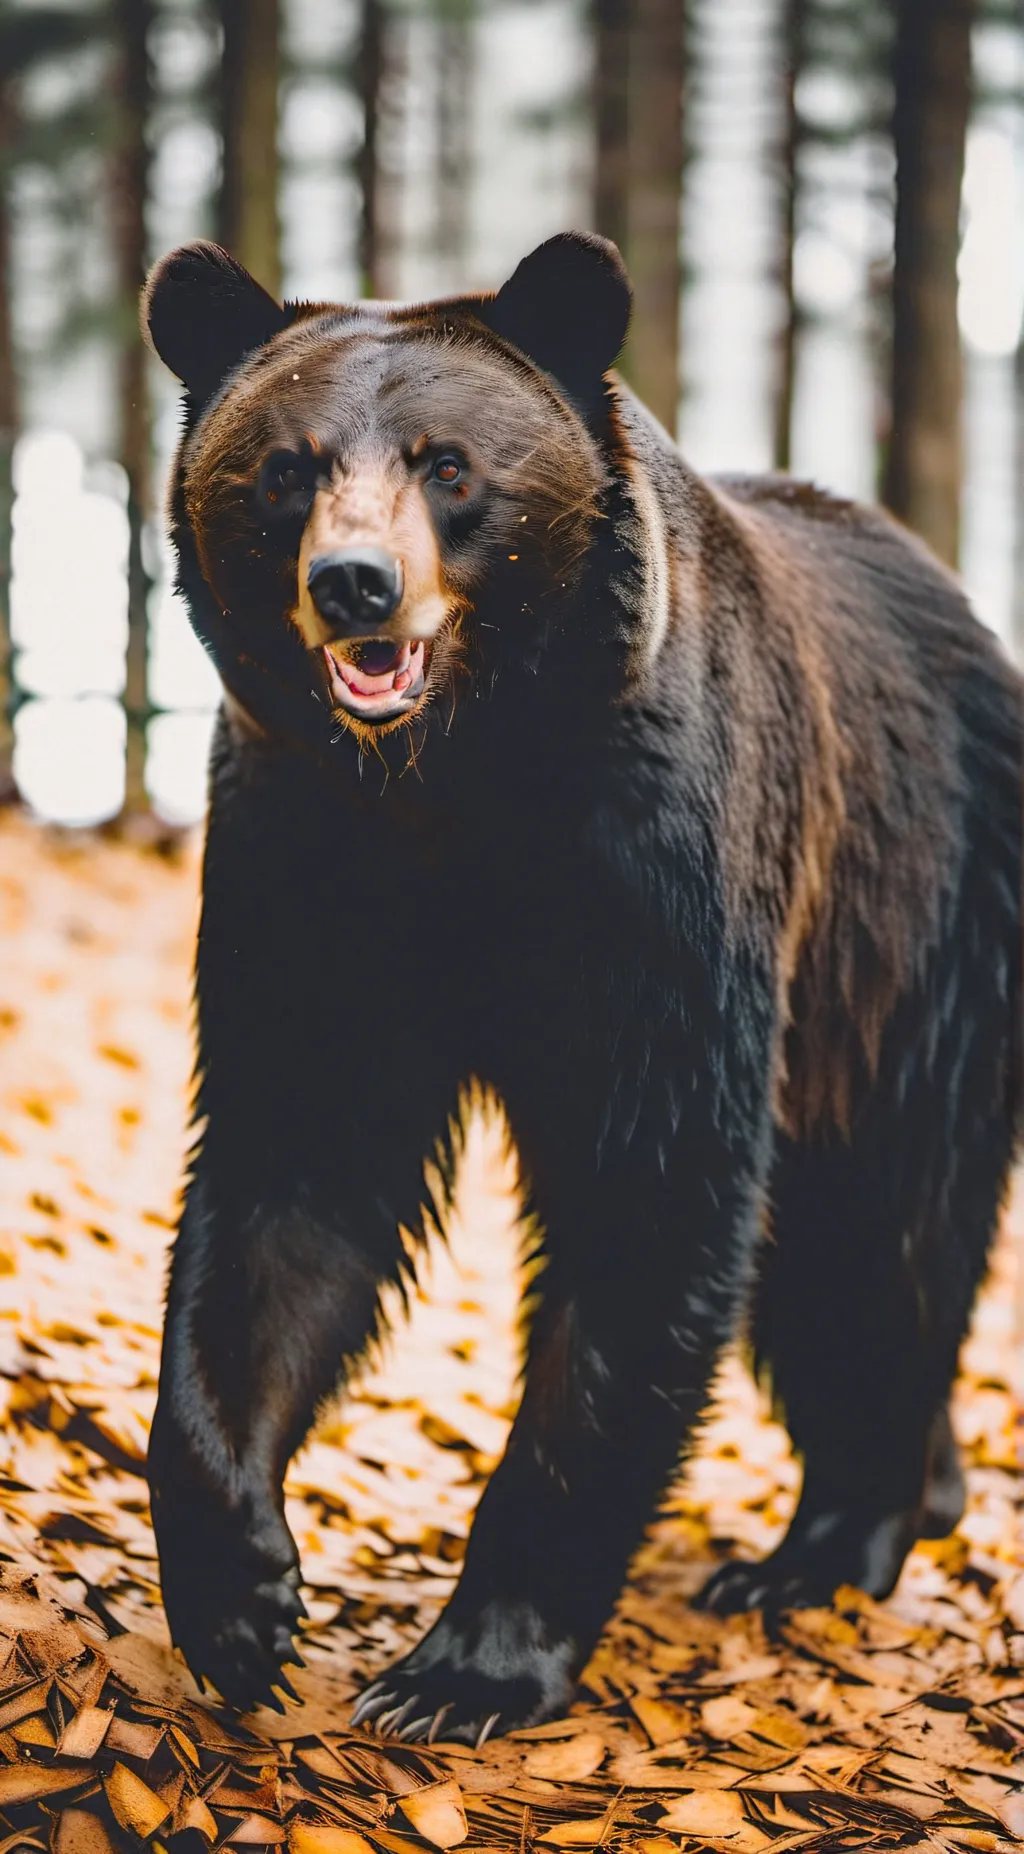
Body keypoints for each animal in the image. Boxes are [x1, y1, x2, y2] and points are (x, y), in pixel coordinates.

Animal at [142, 231, 1022, 1746]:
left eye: (447, 464)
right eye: (285, 468)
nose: (356, 583)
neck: (456, 785)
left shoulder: (654, 872)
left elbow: (649, 1196)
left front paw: (463, 1664)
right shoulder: (311, 855)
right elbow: (289, 1171)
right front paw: (242, 1594)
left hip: (916, 946)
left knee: (879, 1245)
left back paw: (817, 1550)